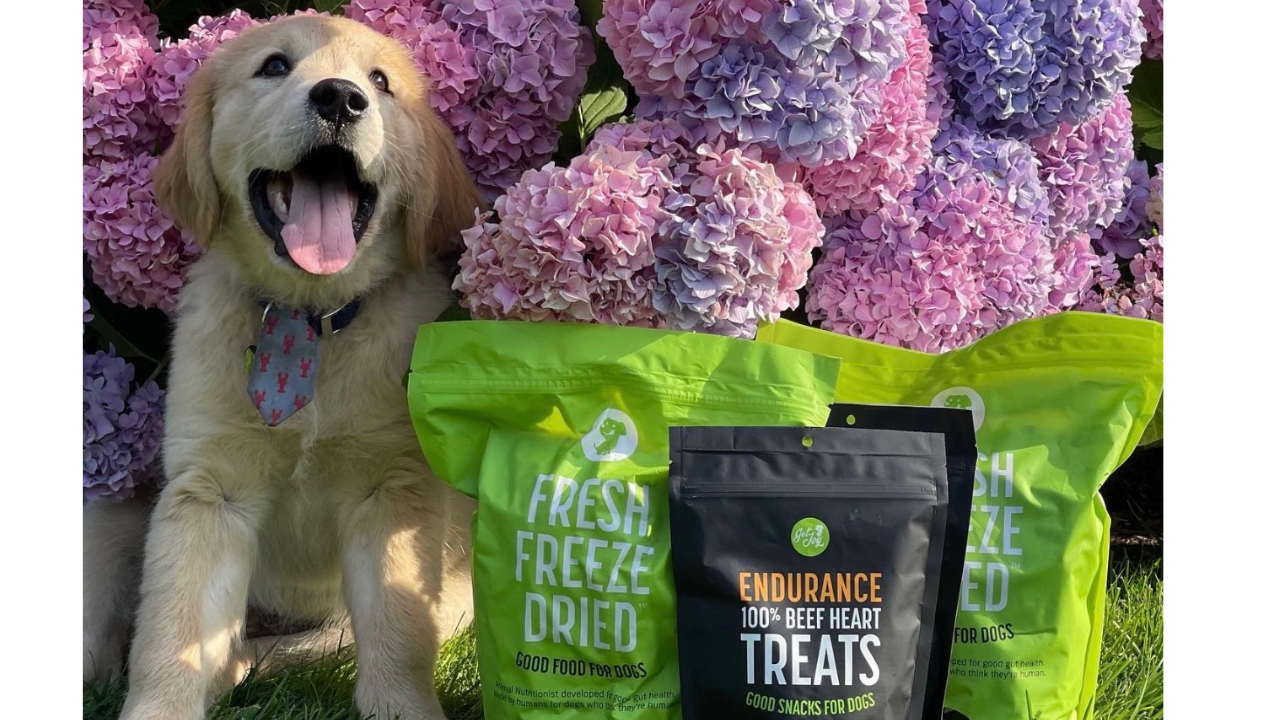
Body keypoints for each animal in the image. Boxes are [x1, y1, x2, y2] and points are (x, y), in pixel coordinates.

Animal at [81, 15, 481, 717]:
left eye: (381, 82)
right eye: (273, 66)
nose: (341, 98)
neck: (307, 315)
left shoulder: (391, 487)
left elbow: (398, 630)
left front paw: (400, 706)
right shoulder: (209, 490)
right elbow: (169, 632)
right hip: (110, 513)